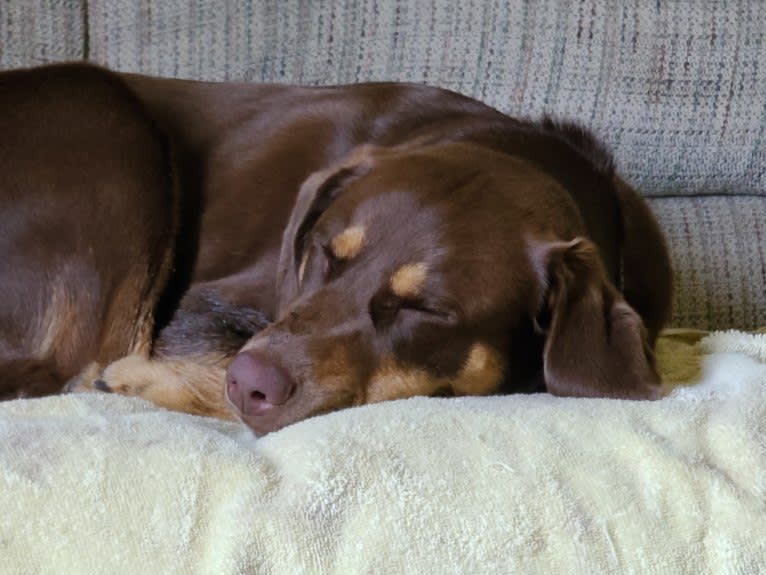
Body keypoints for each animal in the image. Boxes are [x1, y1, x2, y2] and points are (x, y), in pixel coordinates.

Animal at [0, 64, 672, 432]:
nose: (251, 383)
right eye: (324, 253)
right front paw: (145, 382)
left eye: (426, 310)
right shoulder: (206, 302)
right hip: (105, 115)